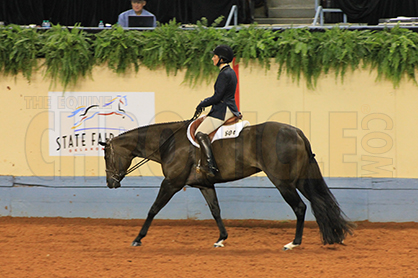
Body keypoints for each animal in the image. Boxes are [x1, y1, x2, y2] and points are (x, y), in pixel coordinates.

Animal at [99, 117, 354, 250]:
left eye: (107, 156)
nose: (111, 183)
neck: (168, 143)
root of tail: (297, 132)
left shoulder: (171, 183)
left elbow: (153, 209)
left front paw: (137, 238)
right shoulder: (204, 185)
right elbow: (216, 210)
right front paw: (221, 238)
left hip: (283, 182)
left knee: (300, 207)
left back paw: (294, 243)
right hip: (300, 179)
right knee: (320, 203)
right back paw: (333, 236)